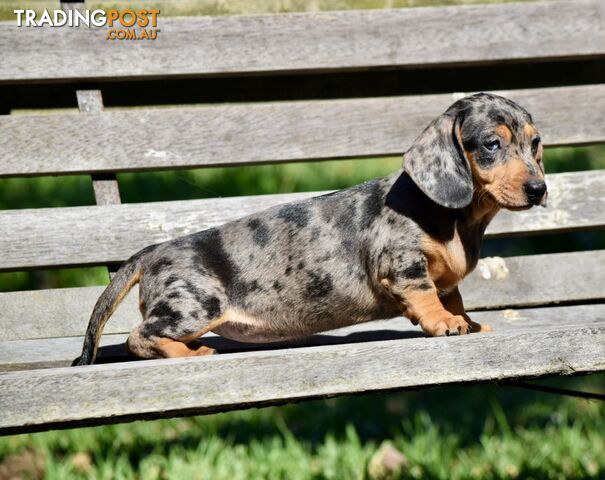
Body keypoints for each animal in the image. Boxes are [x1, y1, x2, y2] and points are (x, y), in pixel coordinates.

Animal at [75, 93, 548, 364]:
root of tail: (153, 251)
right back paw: (187, 351)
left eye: (535, 143)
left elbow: (454, 297)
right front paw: (445, 323)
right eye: (491, 144)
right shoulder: (403, 266)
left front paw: (467, 321)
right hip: (193, 307)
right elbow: (426, 297)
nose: (539, 189)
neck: (456, 217)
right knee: (140, 337)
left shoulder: (447, 280)